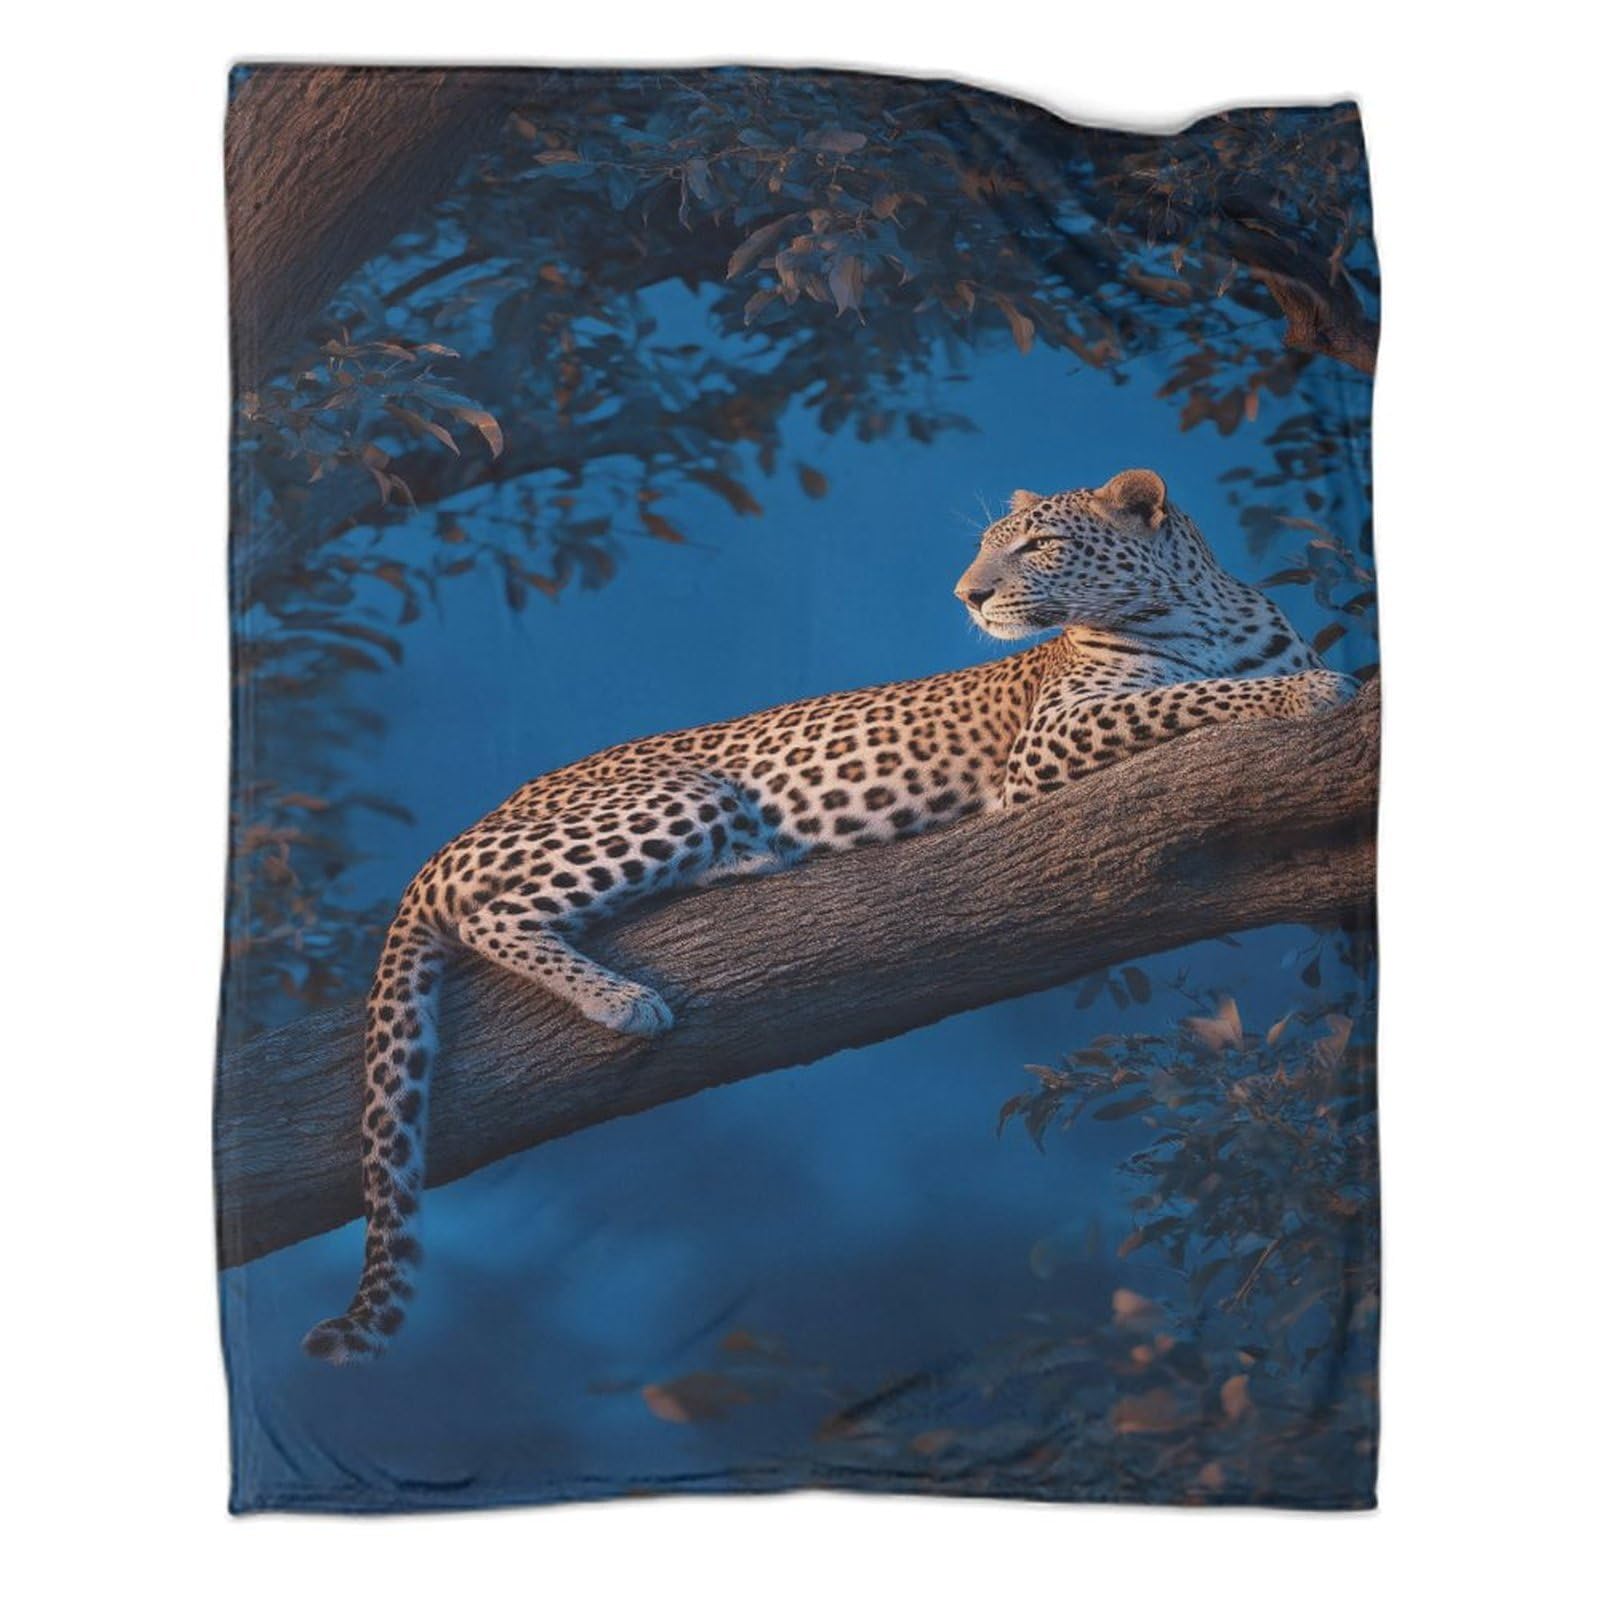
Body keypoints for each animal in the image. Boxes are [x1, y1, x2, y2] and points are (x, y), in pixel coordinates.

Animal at [303, 468, 1356, 1363]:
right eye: (987, 548)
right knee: (495, 915)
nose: (967, 598)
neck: (1195, 608)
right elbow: (1195, 698)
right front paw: (1310, 689)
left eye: (1040, 546)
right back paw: (622, 998)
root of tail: (454, 838)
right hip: (679, 796)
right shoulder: (1052, 742)